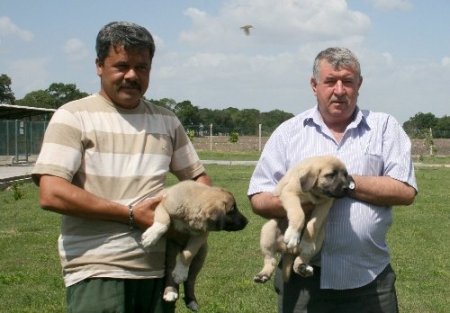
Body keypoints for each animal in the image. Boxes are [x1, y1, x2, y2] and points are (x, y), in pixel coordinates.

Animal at [141, 179, 248, 310]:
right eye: (232, 209)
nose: (247, 221)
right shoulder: (162, 205)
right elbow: (164, 222)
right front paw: (150, 237)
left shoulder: (200, 236)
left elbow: (188, 253)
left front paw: (181, 272)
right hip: (170, 250)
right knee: (170, 270)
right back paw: (171, 291)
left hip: (200, 256)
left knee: (190, 280)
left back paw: (191, 300)